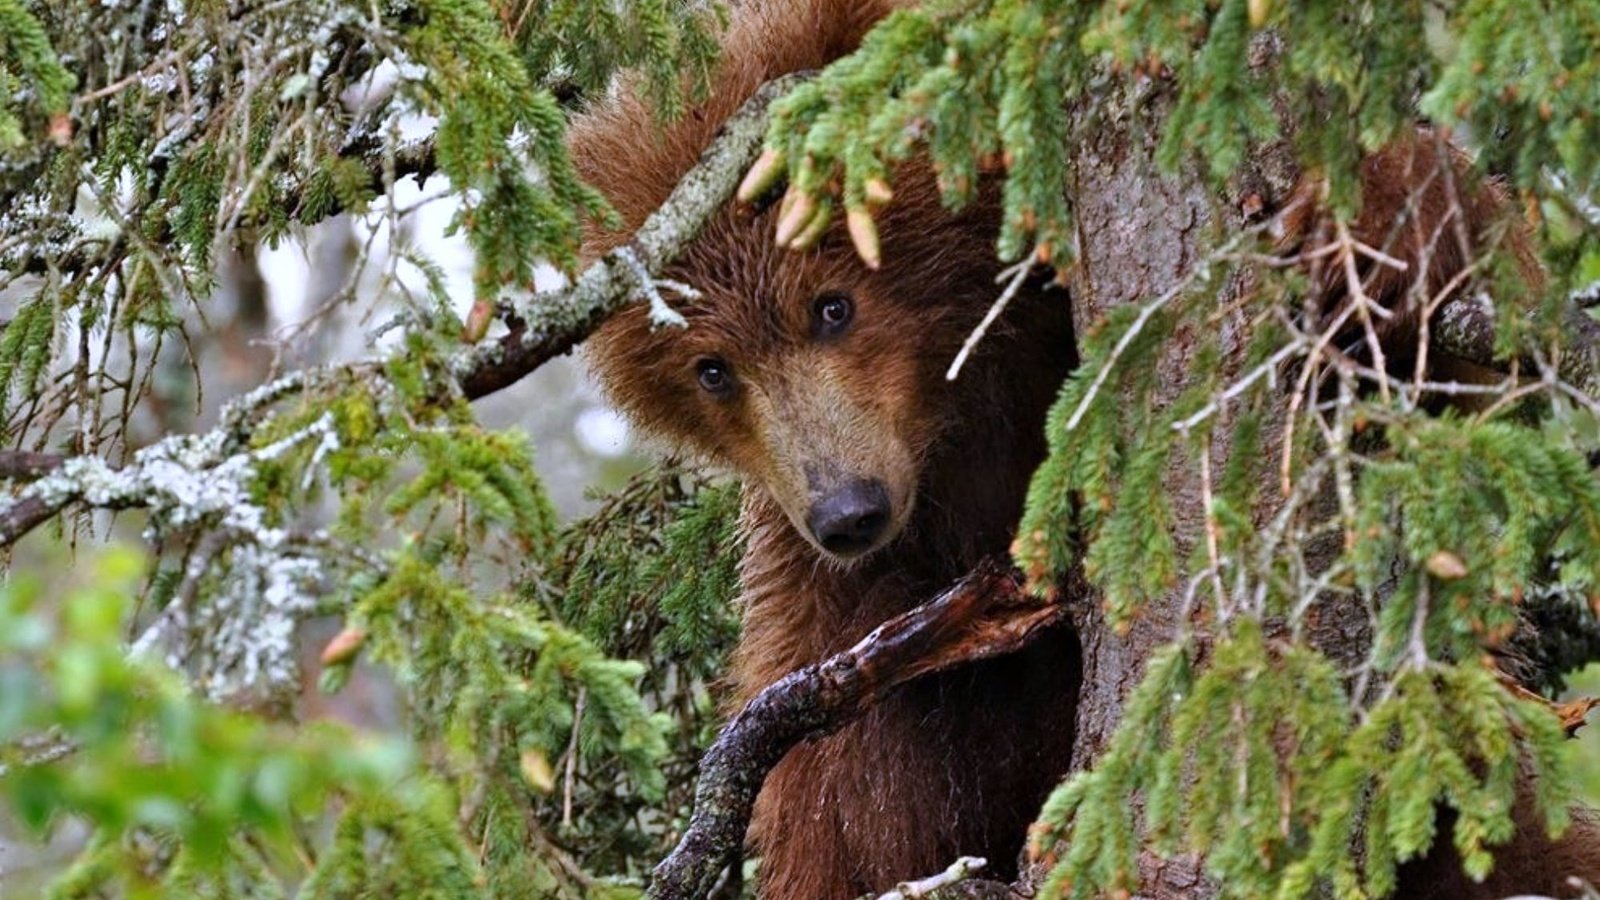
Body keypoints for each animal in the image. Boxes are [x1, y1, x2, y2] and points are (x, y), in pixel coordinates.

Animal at [572, 1, 1600, 896]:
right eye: (711, 369)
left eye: (832, 304)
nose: (848, 510)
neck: (970, 409)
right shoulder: (836, 604)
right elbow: (858, 780)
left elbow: (1463, 345)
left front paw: (1358, 224)